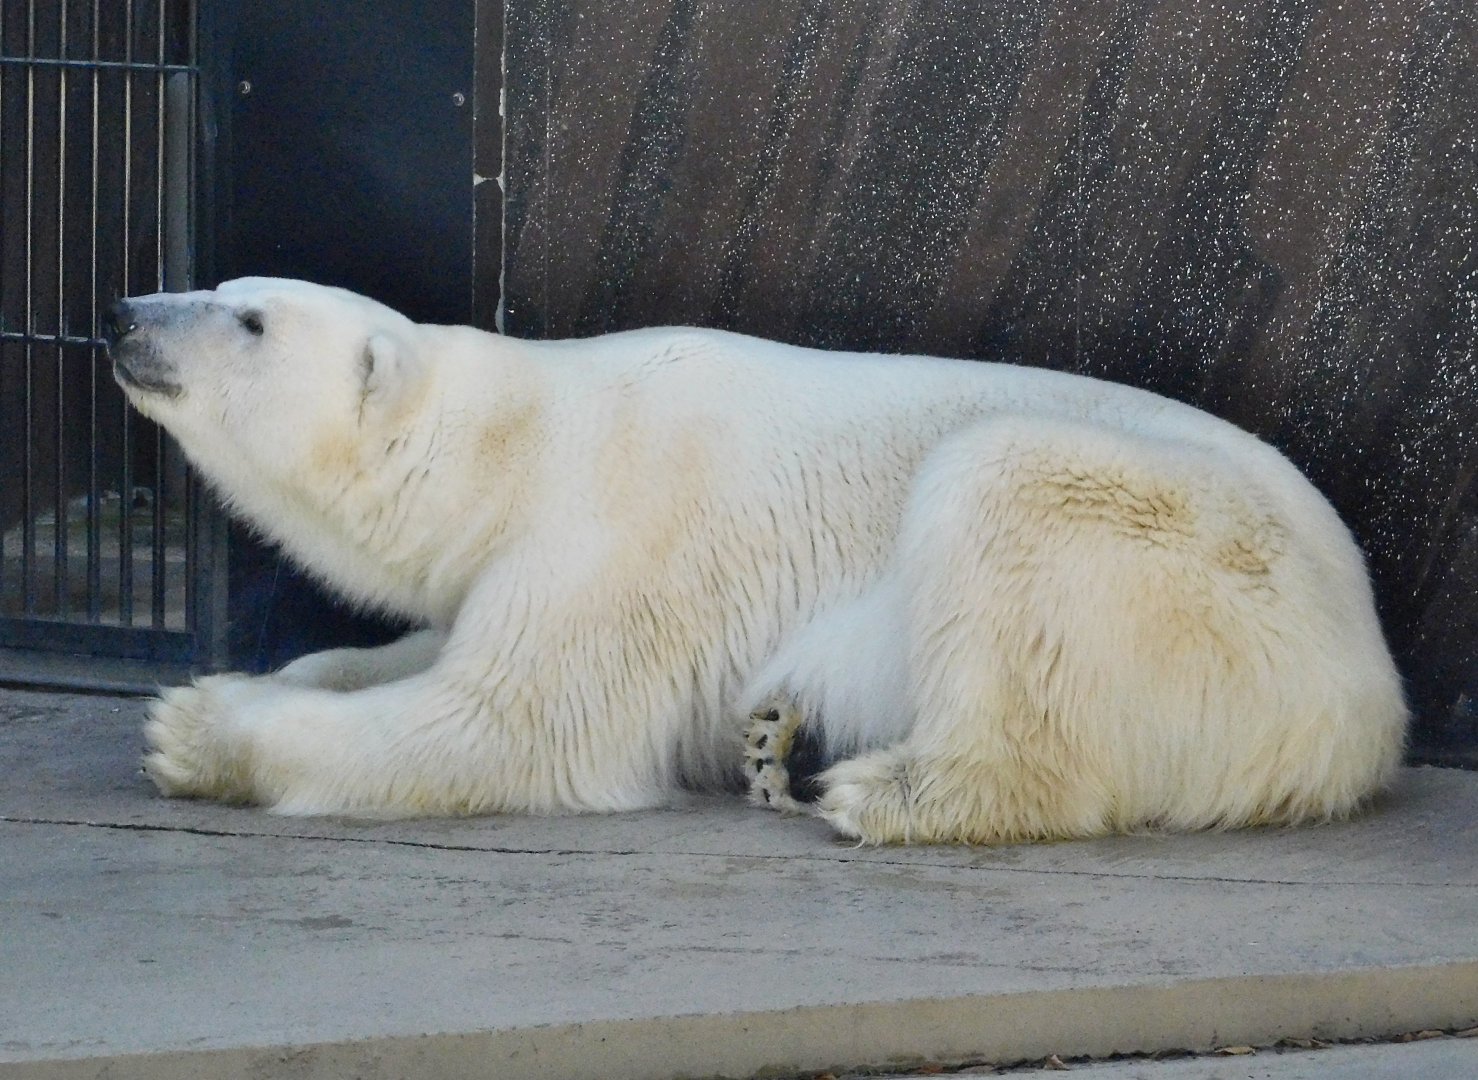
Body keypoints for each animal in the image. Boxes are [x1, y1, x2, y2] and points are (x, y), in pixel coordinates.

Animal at [103, 277, 1407, 844]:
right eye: (218, 284)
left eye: (249, 319)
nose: (123, 311)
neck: (522, 436)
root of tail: (1367, 705)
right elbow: (415, 648)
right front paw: (223, 695)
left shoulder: (613, 538)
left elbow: (500, 723)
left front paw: (206, 734)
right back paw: (781, 742)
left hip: (1186, 568)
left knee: (1002, 498)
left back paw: (887, 790)